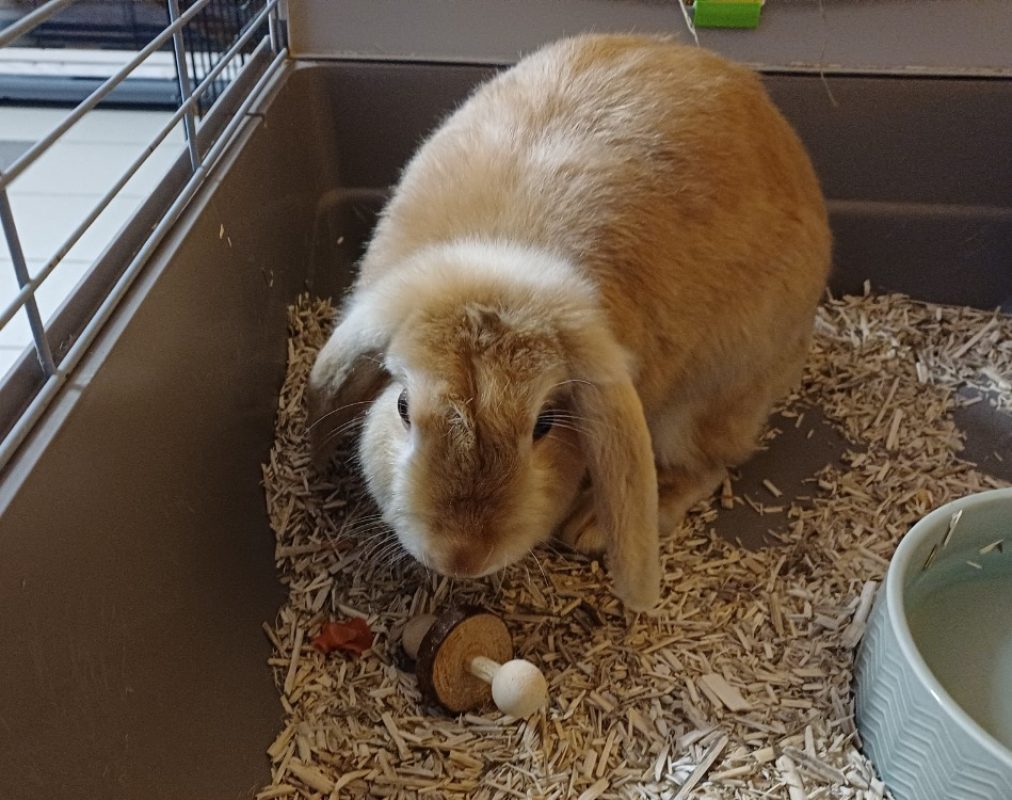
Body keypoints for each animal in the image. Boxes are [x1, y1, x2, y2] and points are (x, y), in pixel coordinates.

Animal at [307, 33, 831, 611]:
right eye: (402, 406)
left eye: (545, 425)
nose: (462, 556)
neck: (498, 268)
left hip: (704, 403)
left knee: (708, 464)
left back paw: (594, 525)